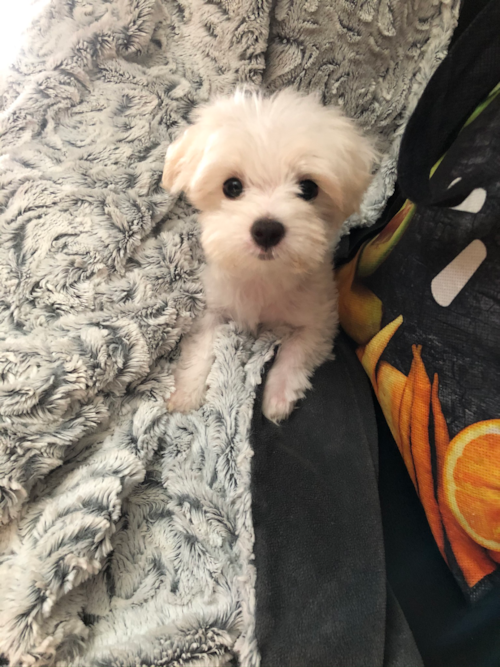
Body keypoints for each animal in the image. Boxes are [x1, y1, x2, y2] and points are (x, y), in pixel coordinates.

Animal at [162, 88, 374, 422]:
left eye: (308, 188)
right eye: (232, 186)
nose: (267, 230)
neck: (263, 276)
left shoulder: (319, 317)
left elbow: (297, 352)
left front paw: (278, 395)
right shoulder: (214, 306)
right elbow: (200, 346)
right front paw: (186, 393)